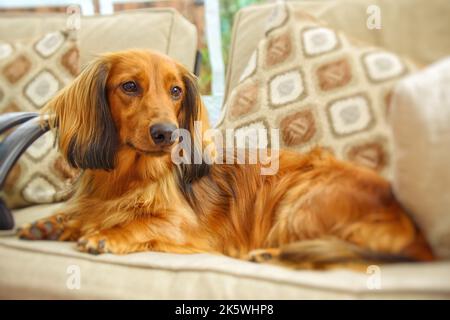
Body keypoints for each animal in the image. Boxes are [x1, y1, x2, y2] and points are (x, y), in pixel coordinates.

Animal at [16, 50, 432, 270]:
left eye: (176, 91)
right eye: (129, 86)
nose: (167, 133)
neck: (129, 176)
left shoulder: (188, 227)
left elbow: (140, 223)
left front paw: (107, 235)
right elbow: (86, 213)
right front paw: (52, 223)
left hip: (301, 200)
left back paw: (270, 253)